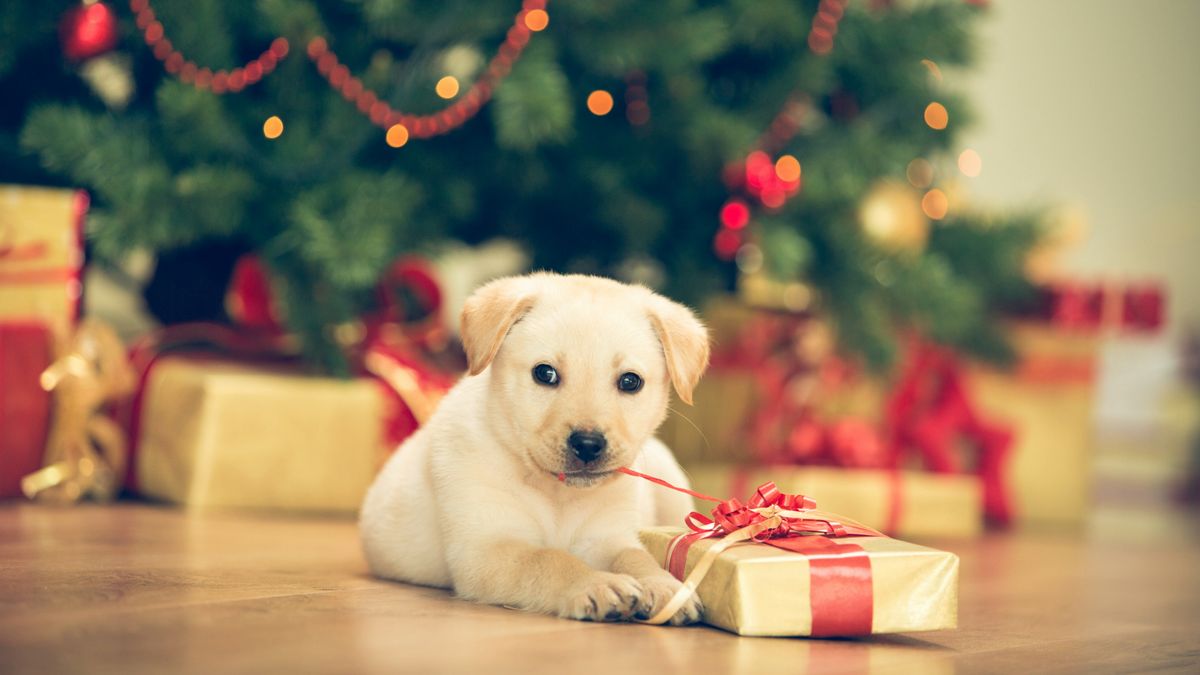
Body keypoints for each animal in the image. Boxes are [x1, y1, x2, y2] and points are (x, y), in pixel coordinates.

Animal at [360, 270, 705, 624]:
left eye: (630, 381)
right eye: (545, 373)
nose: (588, 444)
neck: (558, 495)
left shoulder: (605, 538)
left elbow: (634, 556)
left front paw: (665, 586)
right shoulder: (487, 548)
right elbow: (549, 560)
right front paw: (593, 583)